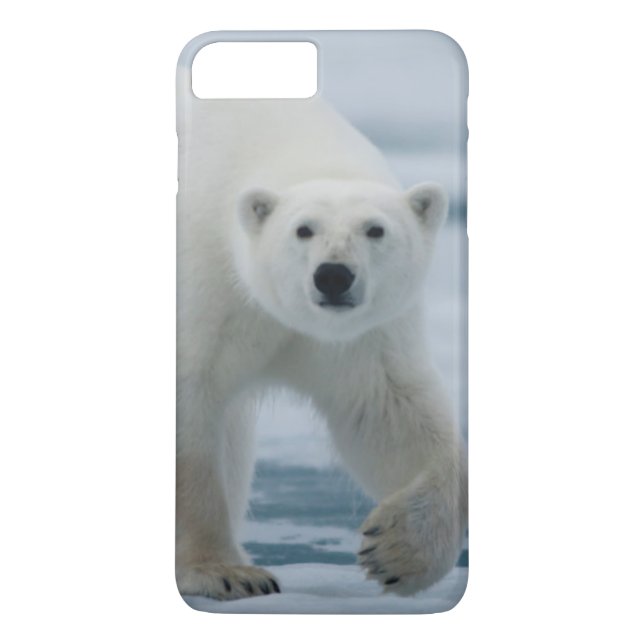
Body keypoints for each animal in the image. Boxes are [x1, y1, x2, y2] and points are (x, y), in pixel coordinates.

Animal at [176, 95, 467, 601]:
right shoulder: (207, 293)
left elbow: (389, 414)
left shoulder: (362, 338)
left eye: (376, 230)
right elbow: (191, 413)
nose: (333, 275)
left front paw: (398, 551)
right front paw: (224, 571)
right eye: (303, 230)